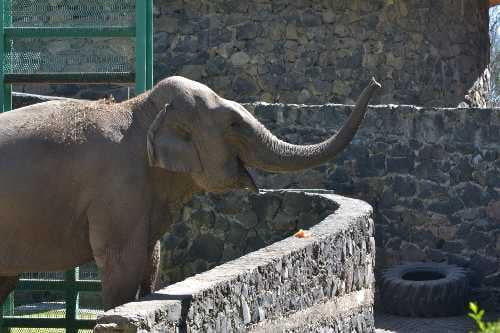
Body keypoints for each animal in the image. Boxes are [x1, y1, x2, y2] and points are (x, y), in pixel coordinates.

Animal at [0, 75, 378, 308]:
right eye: (234, 124)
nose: (375, 81)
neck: (138, 109)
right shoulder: (118, 186)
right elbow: (122, 263)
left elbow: (151, 259)